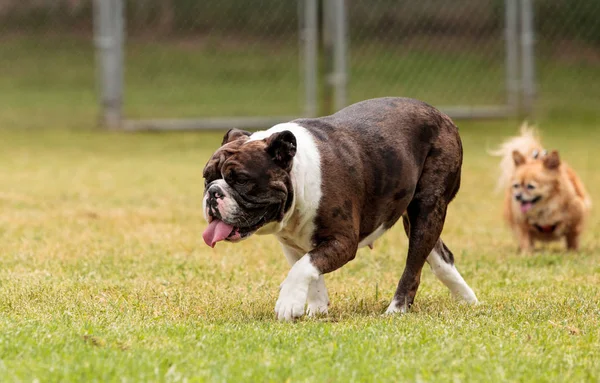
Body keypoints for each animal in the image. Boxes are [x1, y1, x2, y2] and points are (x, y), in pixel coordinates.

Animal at [492, 124, 592, 254]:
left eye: (530, 186)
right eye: (516, 186)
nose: (517, 196)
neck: (544, 209)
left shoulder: (575, 216)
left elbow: (572, 236)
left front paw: (572, 253)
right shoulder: (521, 222)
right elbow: (525, 238)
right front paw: (526, 254)